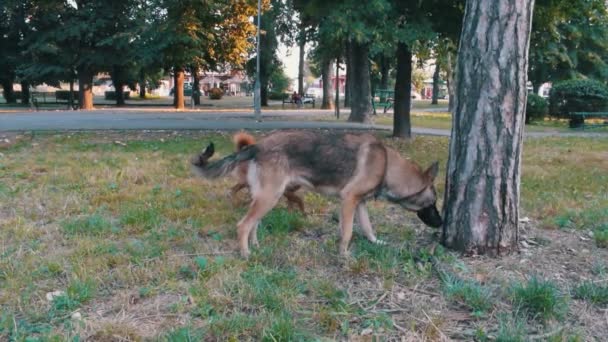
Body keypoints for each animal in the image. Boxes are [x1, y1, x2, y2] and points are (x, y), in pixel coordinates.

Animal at [191, 130, 442, 258]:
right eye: (433, 203)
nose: (441, 223)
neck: (387, 165)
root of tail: (257, 146)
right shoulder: (349, 200)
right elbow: (348, 232)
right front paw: (344, 256)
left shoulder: (359, 203)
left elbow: (368, 228)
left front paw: (376, 242)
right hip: (269, 197)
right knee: (243, 224)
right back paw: (245, 253)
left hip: (267, 197)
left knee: (253, 224)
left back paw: (256, 246)